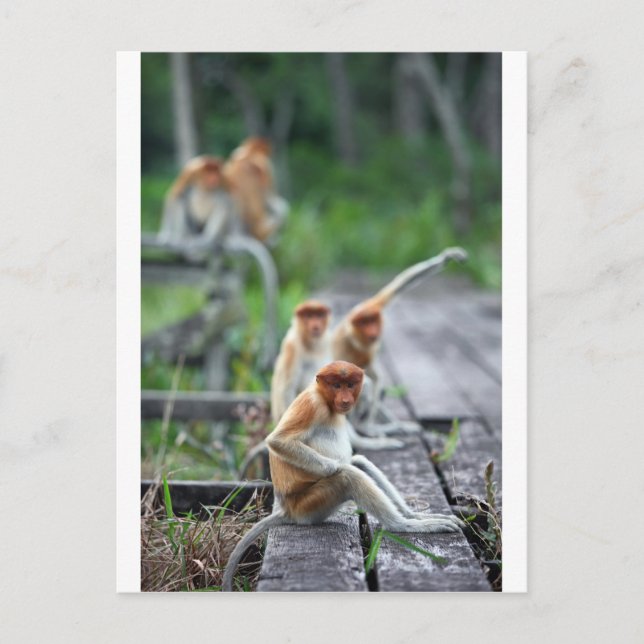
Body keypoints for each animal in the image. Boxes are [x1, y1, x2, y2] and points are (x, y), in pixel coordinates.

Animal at [222, 361, 464, 591]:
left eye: (350, 385)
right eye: (336, 385)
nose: (346, 399)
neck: (326, 401)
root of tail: (287, 509)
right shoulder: (312, 405)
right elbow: (278, 441)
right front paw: (335, 465)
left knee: (360, 463)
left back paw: (414, 516)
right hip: (310, 506)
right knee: (349, 475)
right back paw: (404, 525)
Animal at [332, 247, 468, 435]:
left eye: (372, 320)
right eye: (363, 323)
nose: (373, 331)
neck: (355, 338)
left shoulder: (374, 304)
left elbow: (399, 285)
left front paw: (448, 256)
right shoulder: (340, 344)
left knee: (378, 383)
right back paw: (366, 427)